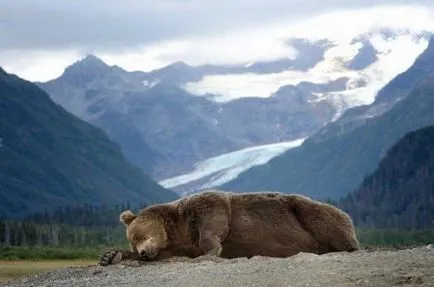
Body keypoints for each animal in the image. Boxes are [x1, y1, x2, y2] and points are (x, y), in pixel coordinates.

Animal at [99, 190, 360, 266]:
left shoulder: (205, 207)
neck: (175, 230)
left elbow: (213, 225)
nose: (143, 253)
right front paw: (109, 256)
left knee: (322, 217)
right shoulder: (178, 246)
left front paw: (212, 251)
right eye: (133, 241)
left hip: (308, 211)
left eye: (138, 235)